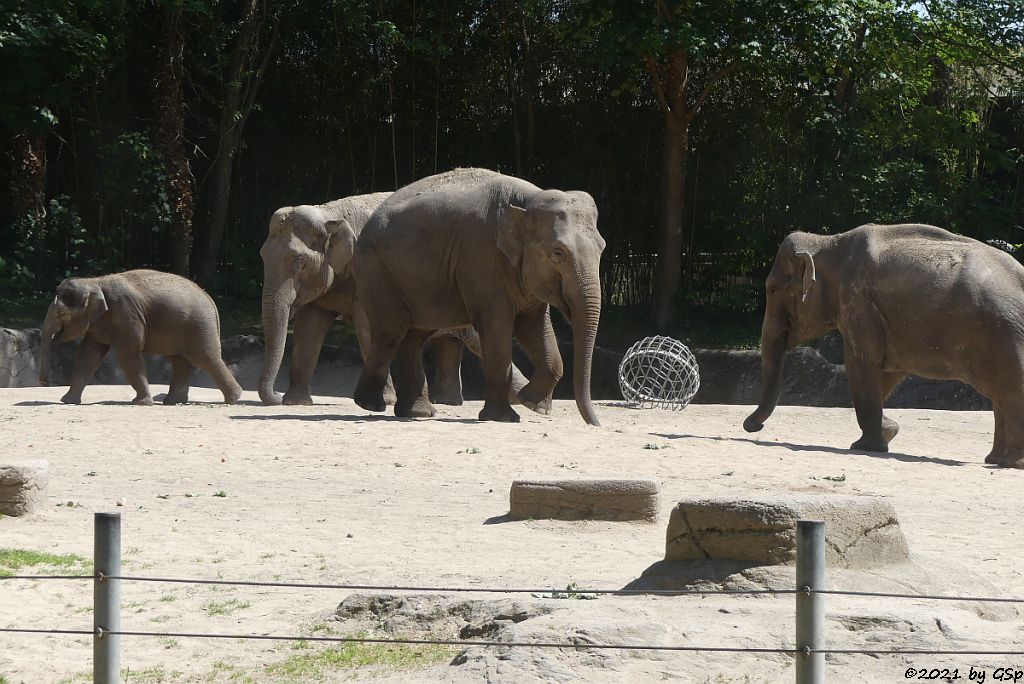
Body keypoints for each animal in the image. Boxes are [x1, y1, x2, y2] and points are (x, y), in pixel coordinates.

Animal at [37, 268, 241, 405]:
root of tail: (210, 300)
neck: (94, 282)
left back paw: (233, 399)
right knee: (179, 361)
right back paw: (173, 402)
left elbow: (127, 354)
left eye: (60, 313)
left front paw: (141, 403)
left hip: (198, 325)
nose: (44, 382)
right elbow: (88, 354)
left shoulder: (126, 312)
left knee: (206, 358)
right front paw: (67, 401)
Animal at [258, 192, 528, 405]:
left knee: (478, 339)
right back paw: (447, 402)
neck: (330, 212)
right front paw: (295, 402)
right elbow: (308, 329)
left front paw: (385, 400)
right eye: (262, 255)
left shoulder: (368, 274)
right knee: (452, 343)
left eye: (299, 261)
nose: (275, 396)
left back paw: (521, 399)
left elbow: (370, 328)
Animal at [354, 167, 602, 423]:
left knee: (414, 335)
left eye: (602, 247)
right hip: (377, 272)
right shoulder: (480, 258)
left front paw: (533, 404)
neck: (530, 199)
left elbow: (534, 328)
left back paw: (416, 412)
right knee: (392, 330)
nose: (595, 424)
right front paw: (505, 417)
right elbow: (498, 329)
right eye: (557, 253)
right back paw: (371, 404)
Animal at [745, 224, 1024, 471]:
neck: (829, 242)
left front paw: (865, 446)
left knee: (1009, 389)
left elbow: (862, 362)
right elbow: (889, 370)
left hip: (1002, 335)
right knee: (1000, 394)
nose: (752, 427)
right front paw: (889, 430)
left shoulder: (858, 301)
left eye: (772, 289)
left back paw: (1010, 463)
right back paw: (996, 460)